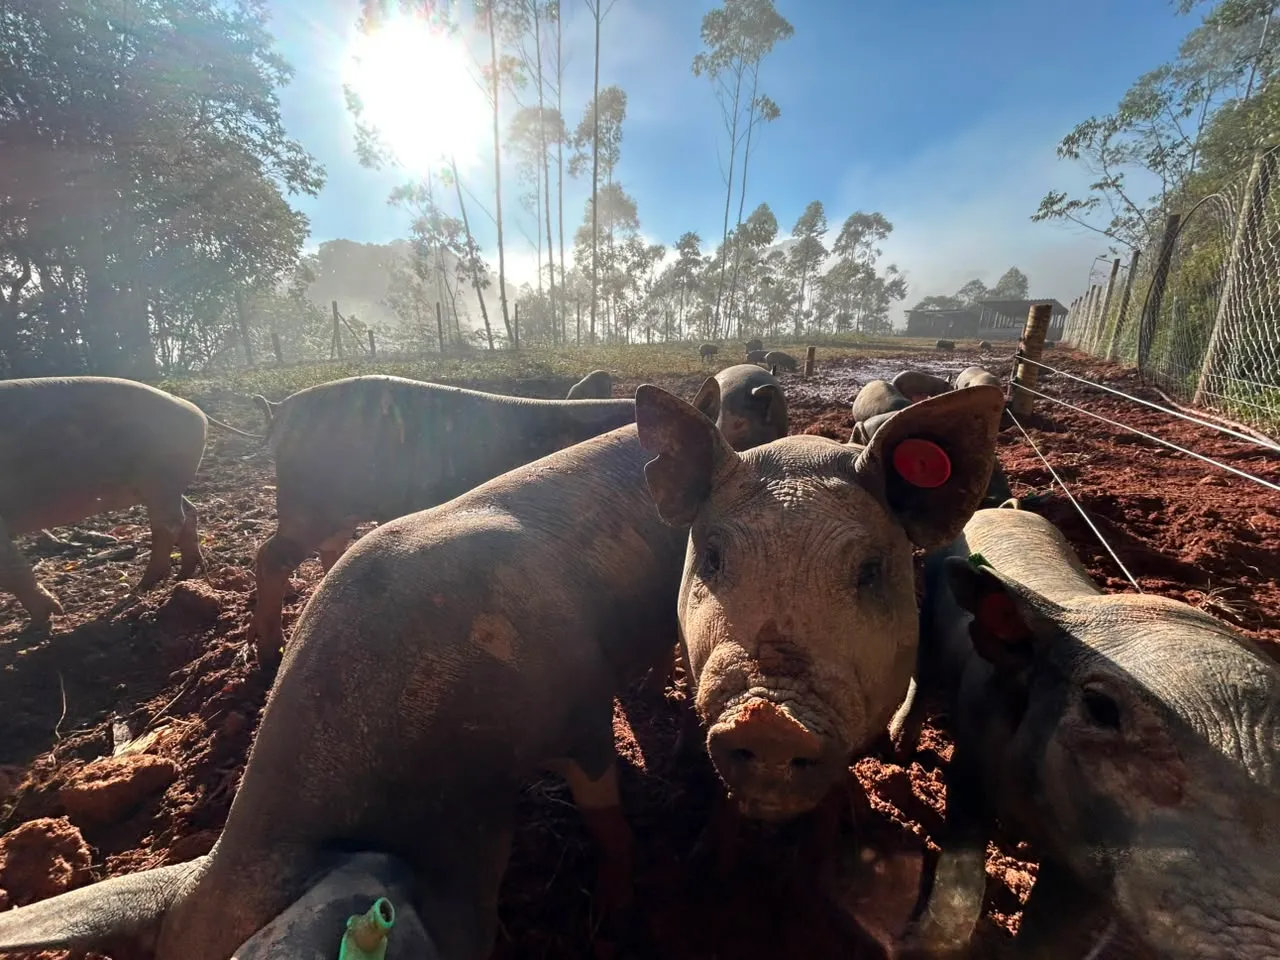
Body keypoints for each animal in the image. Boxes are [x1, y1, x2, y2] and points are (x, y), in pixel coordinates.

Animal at [0, 376, 260, 625]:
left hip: (161, 476)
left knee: (170, 523)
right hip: (164, 485)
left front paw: (41, 622)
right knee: (189, 513)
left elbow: (11, 569)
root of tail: (196, 410)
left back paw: (138, 591)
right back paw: (183, 576)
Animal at [245, 375, 638, 664]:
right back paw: (271, 654)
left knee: (327, 550)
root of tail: (281, 409)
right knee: (271, 556)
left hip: (337, 511)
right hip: (309, 504)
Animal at [901, 506, 1280, 959]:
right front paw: (914, 945)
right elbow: (963, 866)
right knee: (921, 675)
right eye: (1100, 707)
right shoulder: (970, 756)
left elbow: (1053, 934)